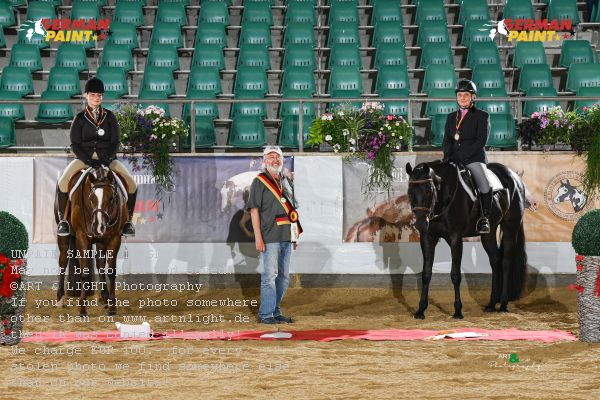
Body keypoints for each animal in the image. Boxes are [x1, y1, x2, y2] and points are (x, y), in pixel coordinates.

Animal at [54, 166, 129, 316]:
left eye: (111, 199)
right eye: (91, 198)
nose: (99, 227)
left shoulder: (114, 239)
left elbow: (111, 272)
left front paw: (112, 307)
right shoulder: (82, 238)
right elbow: (84, 272)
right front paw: (82, 309)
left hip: (100, 241)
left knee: (100, 263)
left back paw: (105, 297)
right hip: (63, 236)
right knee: (63, 261)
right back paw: (60, 299)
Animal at [406, 161, 528, 320]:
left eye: (429, 190)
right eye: (410, 192)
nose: (421, 224)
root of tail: (514, 177)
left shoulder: (455, 238)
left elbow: (455, 275)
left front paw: (458, 311)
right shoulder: (428, 238)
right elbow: (426, 274)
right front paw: (420, 310)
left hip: (510, 228)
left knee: (506, 262)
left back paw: (503, 304)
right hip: (488, 234)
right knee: (495, 261)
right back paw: (491, 304)